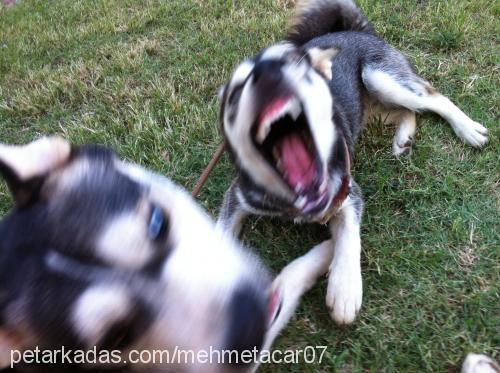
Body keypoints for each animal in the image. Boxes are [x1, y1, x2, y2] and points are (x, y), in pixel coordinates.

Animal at [216, 0, 488, 326]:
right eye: (240, 87)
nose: (269, 76)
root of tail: (357, 30)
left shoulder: (349, 192)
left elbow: (349, 235)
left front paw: (344, 289)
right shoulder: (237, 196)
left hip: (381, 77)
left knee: (434, 98)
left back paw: (468, 129)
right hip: (373, 107)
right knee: (407, 112)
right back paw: (404, 138)